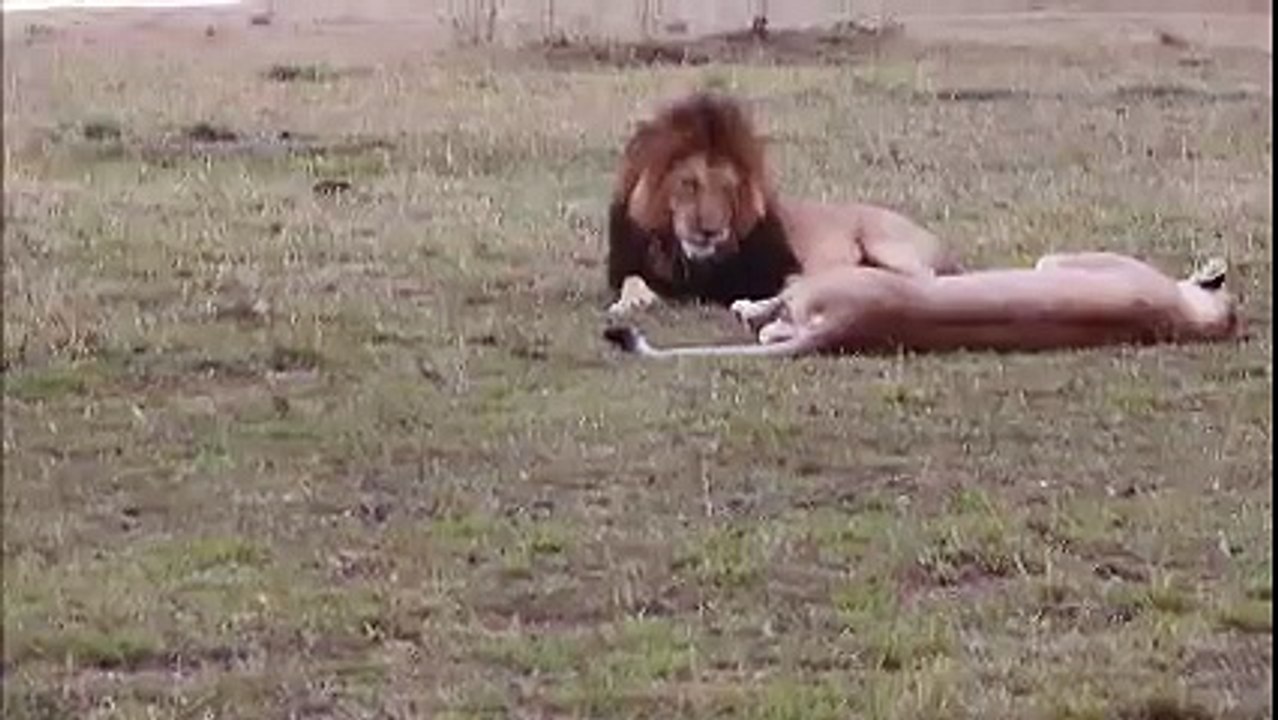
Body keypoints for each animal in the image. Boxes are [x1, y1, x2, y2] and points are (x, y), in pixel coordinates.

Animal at [605, 91, 960, 316]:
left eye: (729, 189)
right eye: (689, 184)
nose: (709, 231)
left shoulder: (778, 270)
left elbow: (787, 286)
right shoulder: (630, 268)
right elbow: (633, 281)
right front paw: (628, 303)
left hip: (885, 242)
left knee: (924, 280)